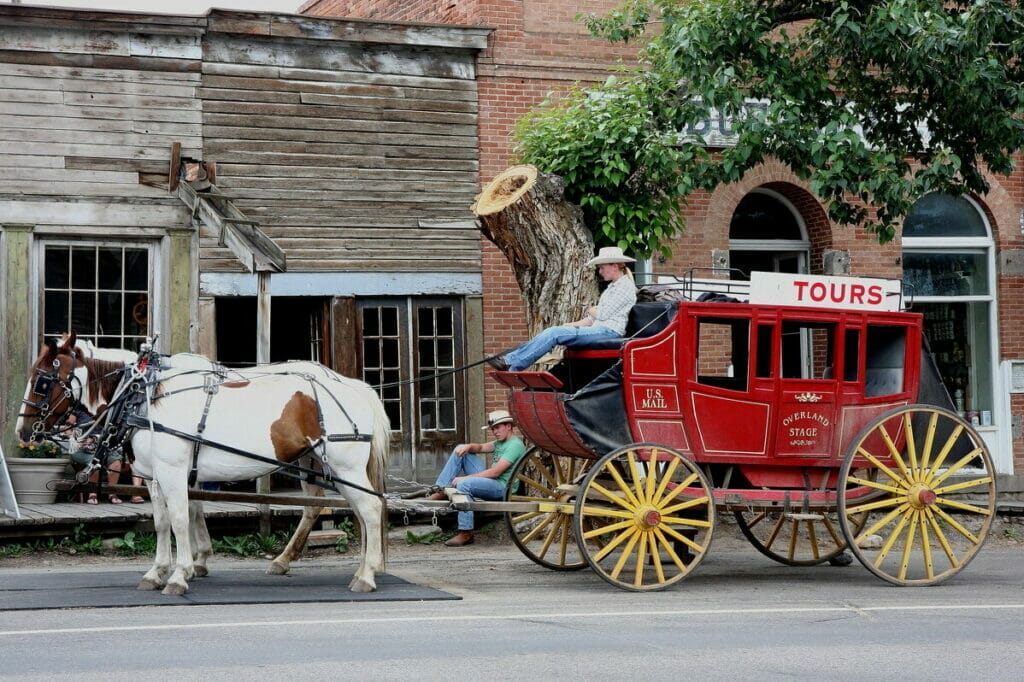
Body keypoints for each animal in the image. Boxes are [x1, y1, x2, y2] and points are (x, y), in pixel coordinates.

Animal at [16, 331, 391, 593]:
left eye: (43, 381)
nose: (23, 430)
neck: (144, 395)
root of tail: (356, 386)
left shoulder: (173, 472)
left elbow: (182, 519)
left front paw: (179, 575)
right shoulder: (155, 477)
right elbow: (163, 522)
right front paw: (158, 571)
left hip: (345, 467)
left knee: (371, 509)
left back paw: (366, 575)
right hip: (319, 465)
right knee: (341, 510)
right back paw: (346, 566)